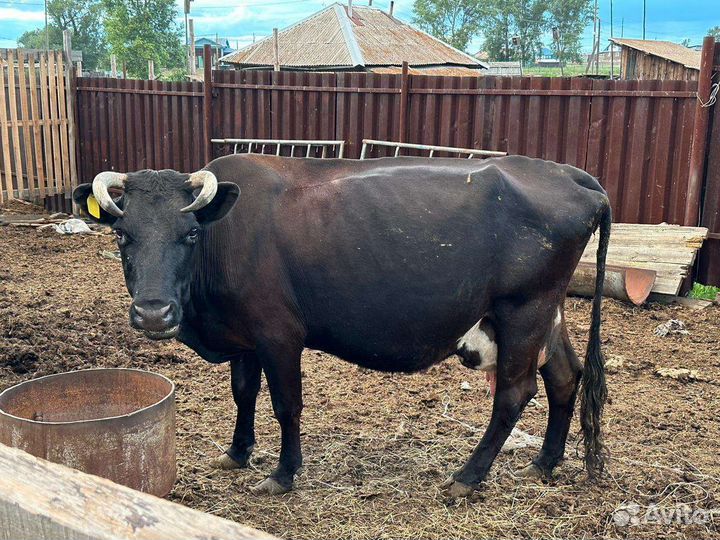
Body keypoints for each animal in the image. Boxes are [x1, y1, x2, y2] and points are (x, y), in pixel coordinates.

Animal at [73, 154, 610, 498]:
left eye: (189, 234)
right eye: (122, 235)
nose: (153, 313)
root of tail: (568, 173)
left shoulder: (279, 334)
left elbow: (286, 405)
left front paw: (283, 474)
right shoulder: (244, 336)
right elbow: (243, 393)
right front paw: (237, 452)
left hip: (524, 309)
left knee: (515, 393)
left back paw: (467, 476)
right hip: (547, 310)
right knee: (564, 375)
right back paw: (545, 461)